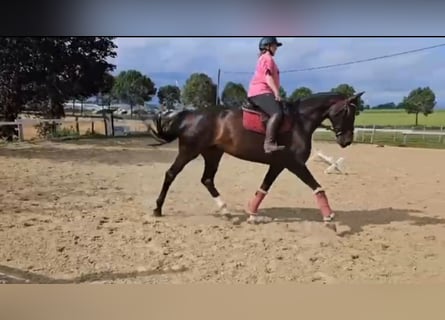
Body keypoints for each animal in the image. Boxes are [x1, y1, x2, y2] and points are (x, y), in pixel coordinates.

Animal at [147, 91, 362, 229]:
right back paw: (157, 209)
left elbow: (264, 188)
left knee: (207, 179)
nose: (346, 141)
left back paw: (226, 211)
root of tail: (190, 114)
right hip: (189, 151)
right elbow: (316, 186)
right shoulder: (294, 164)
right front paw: (329, 216)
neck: (300, 122)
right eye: (347, 112)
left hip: (213, 154)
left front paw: (251, 213)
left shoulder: (278, 164)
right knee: (171, 174)